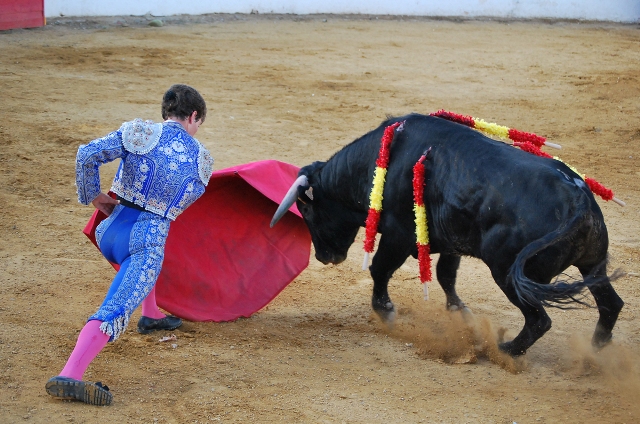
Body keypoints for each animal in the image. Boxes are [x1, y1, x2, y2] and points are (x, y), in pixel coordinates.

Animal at [272, 114, 624, 356]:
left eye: (306, 211)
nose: (324, 257)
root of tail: (578, 198)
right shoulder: (450, 241)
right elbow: (446, 275)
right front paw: (460, 313)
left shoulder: (399, 235)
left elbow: (380, 269)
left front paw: (386, 311)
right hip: (593, 265)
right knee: (610, 305)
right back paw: (594, 353)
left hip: (508, 273)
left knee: (540, 320)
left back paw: (505, 351)